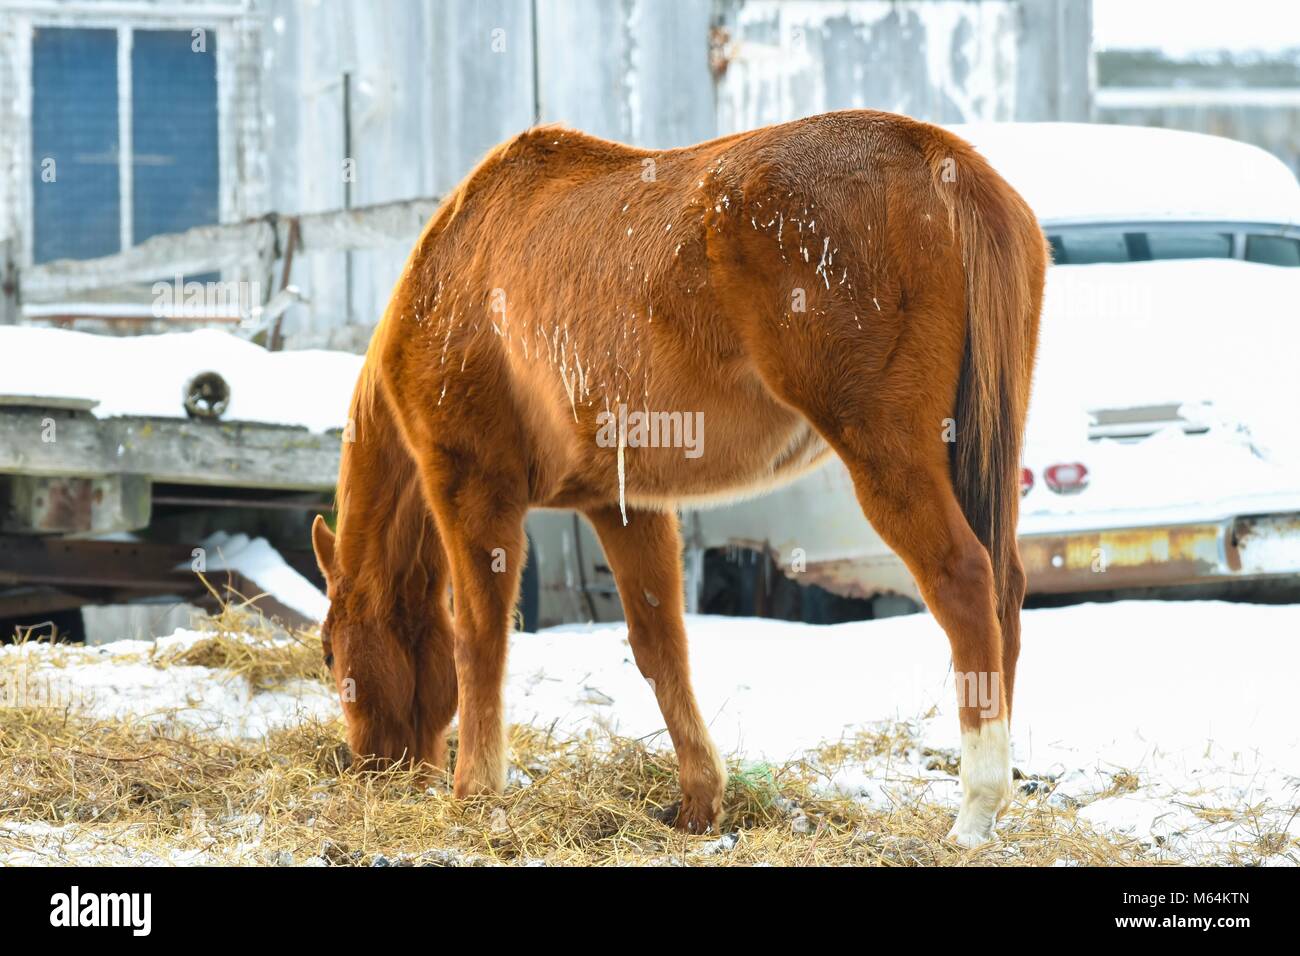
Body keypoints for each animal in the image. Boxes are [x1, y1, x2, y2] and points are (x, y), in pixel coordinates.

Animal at [312, 108, 1045, 848]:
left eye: (329, 656)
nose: (369, 768)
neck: (453, 274)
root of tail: (935, 154)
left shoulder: (473, 492)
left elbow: (479, 641)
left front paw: (474, 794)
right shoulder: (624, 507)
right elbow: (659, 647)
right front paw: (699, 800)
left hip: (888, 458)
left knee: (964, 581)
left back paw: (976, 808)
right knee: (1005, 589)